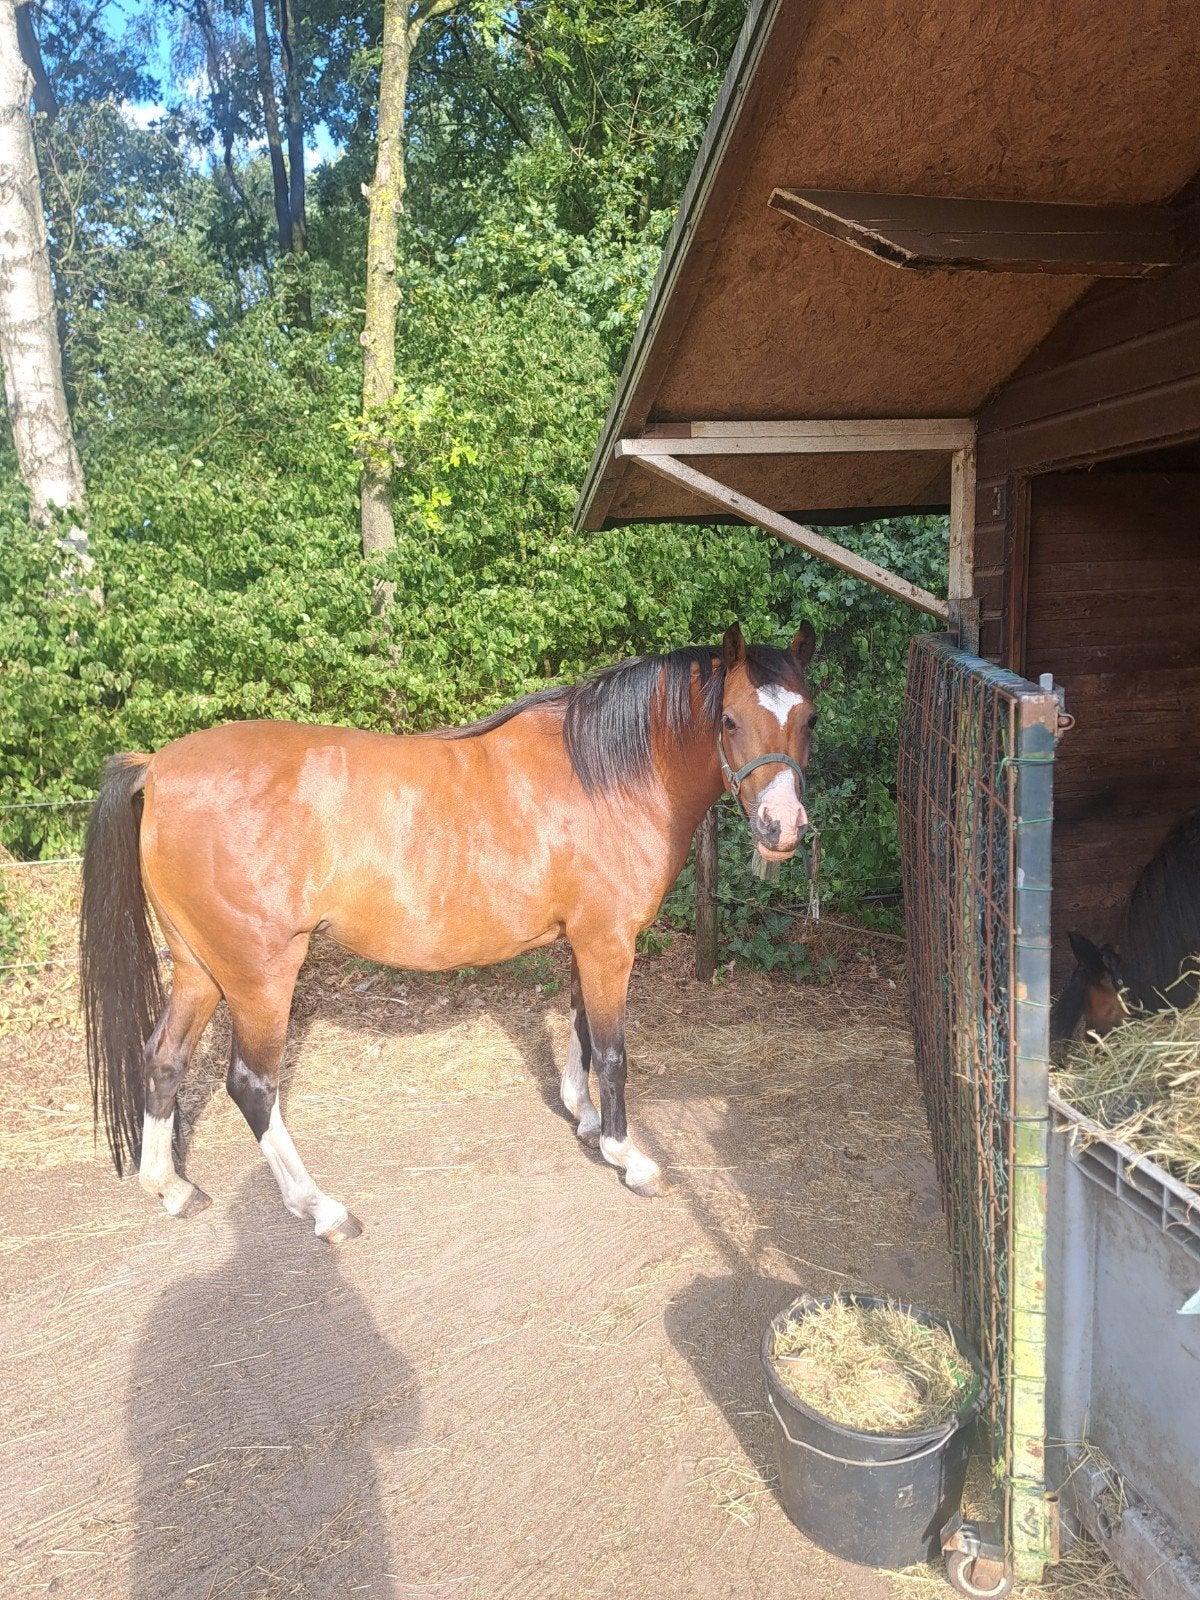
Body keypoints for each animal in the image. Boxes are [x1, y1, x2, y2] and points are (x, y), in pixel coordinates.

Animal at [80, 622, 818, 1241]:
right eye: (730, 719)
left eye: (808, 717)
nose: (782, 828)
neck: (606, 775)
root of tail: (159, 766)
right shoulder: (608, 942)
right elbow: (610, 1050)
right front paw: (625, 1155)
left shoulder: (585, 941)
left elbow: (580, 1027)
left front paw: (581, 1119)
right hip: (260, 976)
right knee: (252, 1086)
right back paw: (321, 1208)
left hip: (199, 968)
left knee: (164, 1059)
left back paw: (171, 1187)